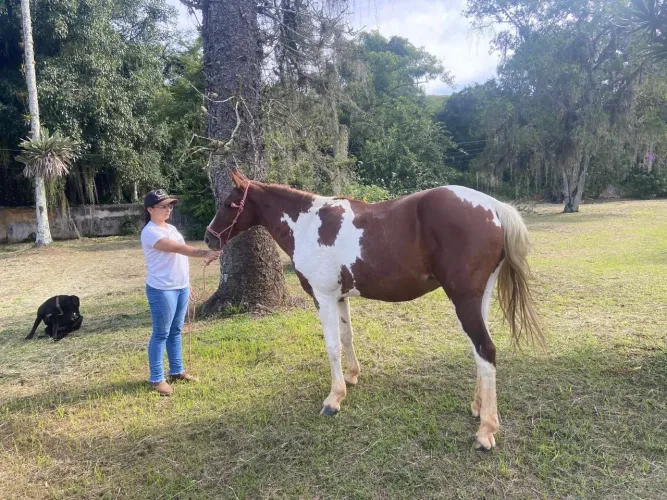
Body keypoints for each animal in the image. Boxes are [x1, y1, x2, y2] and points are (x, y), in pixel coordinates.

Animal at [205, 169, 543, 450]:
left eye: (229, 204)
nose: (209, 237)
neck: (308, 224)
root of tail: (494, 207)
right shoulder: (340, 297)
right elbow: (347, 338)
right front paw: (352, 378)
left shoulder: (323, 297)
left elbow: (331, 346)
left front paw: (333, 399)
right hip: (477, 299)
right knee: (479, 353)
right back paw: (478, 407)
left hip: (463, 300)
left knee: (486, 350)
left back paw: (486, 431)